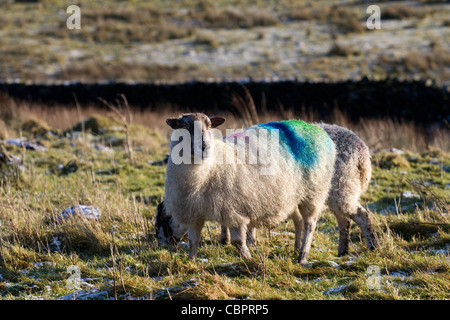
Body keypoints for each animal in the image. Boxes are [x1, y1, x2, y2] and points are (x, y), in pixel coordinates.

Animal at [156, 113, 336, 264]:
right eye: (185, 127)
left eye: (209, 126)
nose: (205, 146)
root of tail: (316, 130)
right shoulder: (195, 212)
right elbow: (193, 241)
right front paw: (192, 262)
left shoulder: (233, 209)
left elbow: (237, 241)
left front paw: (248, 258)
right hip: (292, 196)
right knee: (298, 221)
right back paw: (296, 248)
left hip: (313, 192)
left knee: (309, 224)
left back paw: (302, 256)